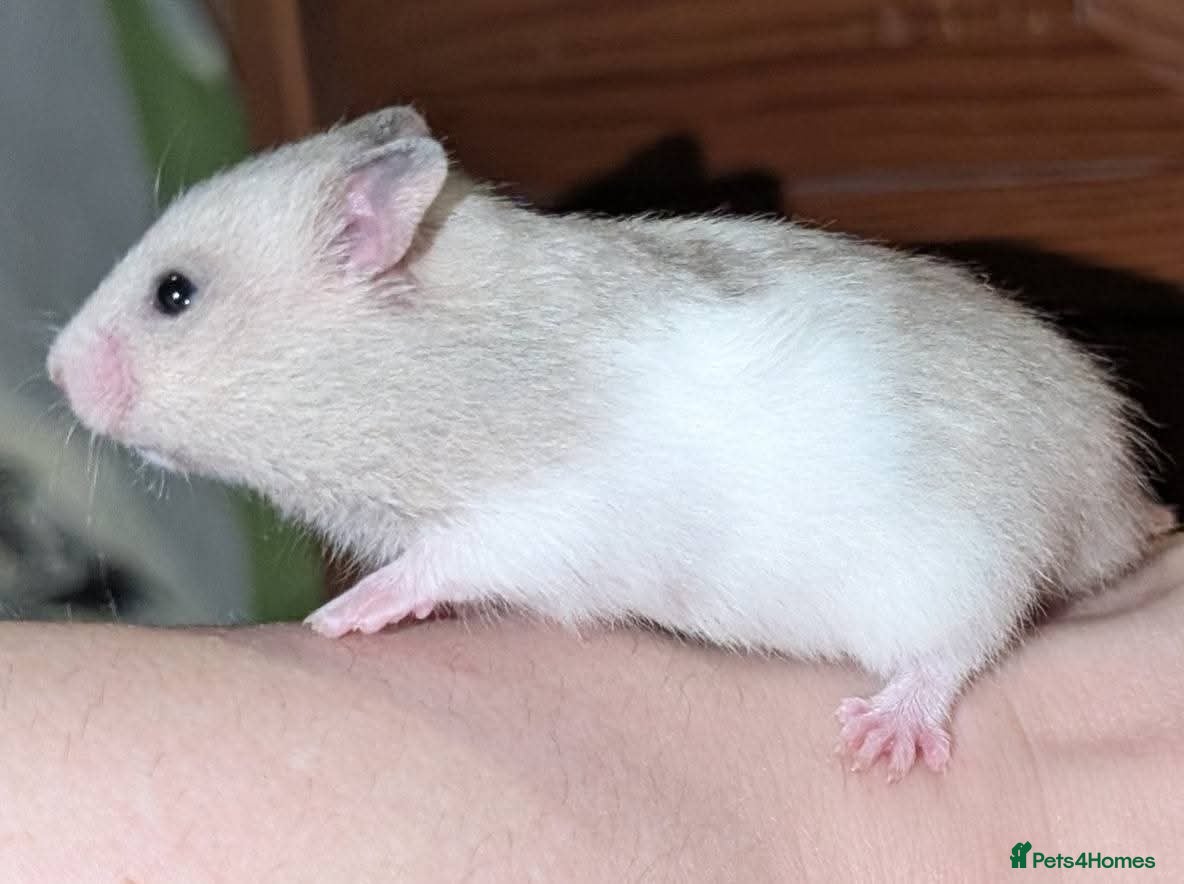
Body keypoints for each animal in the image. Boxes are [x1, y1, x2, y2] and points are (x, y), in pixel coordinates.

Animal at [47, 106, 1170, 779]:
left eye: (174, 294)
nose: (54, 370)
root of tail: (1112, 499)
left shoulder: (537, 517)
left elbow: (441, 559)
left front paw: (339, 615)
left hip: (961, 559)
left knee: (961, 643)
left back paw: (885, 732)